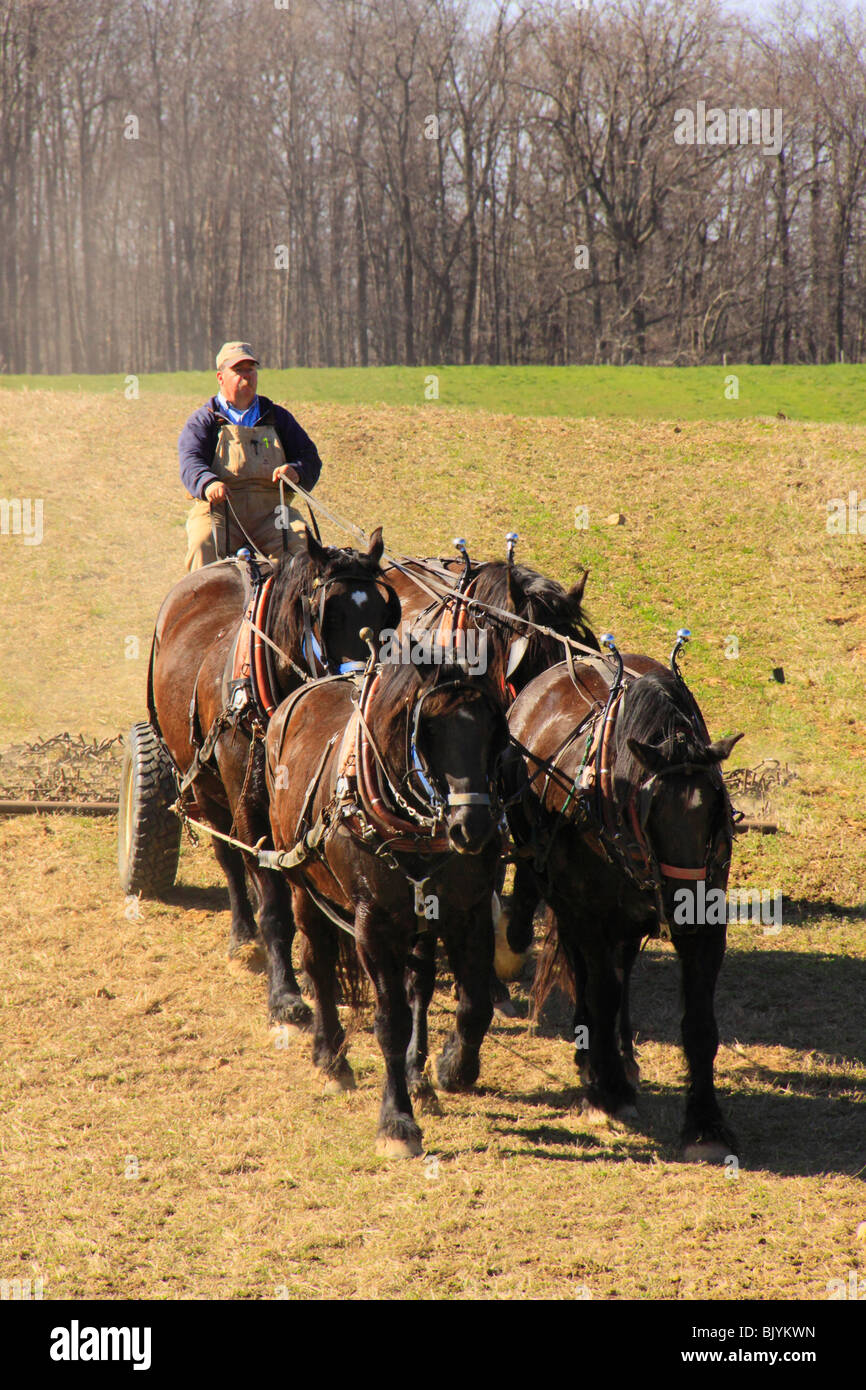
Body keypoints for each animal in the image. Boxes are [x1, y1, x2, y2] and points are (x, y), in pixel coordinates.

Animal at [147, 527, 400, 1025]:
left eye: (385, 613)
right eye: (327, 612)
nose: (362, 683)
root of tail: (229, 561)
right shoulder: (250, 804)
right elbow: (274, 899)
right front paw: (285, 994)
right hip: (203, 783)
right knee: (229, 856)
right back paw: (243, 932)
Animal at [265, 648, 510, 1157]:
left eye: (494, 728)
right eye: (428, 729)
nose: (472, 828)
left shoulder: (468, 912)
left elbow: (474, 1004)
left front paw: (454, 1067)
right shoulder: (373, 927)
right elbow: (390, 1021)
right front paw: (397, 1120)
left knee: (419, 984)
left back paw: (419, 1075)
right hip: (301, 884)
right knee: (317, 962)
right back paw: (331, 1056)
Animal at [504, 642, 742, 1160]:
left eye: (715, 808)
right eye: (652, 813)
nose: (685, 909)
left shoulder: (708, 923)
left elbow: (699, 1022)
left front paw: (706, 1124)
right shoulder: (591, 915)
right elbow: (601, 990)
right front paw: (608, 1089)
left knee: (623, 962)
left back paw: (623, 1054)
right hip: (561, 893)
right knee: (585, 968)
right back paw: (593, 1054)